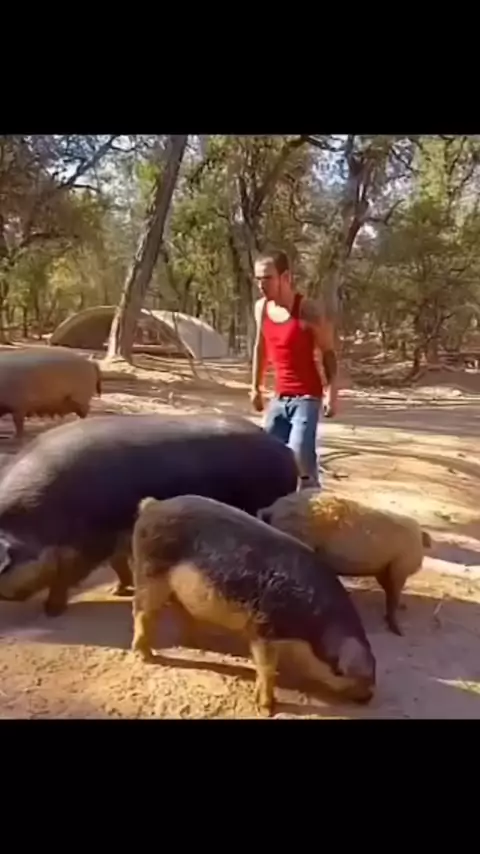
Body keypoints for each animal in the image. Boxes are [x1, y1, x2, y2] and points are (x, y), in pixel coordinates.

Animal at [0, 413, 298, 616]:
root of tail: (286, 450)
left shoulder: (92, 543)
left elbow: (67, 575)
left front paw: (52, 609)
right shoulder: (115, 536)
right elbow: (119, 564)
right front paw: (119, 591)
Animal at [130, 494, 376, 717]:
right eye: (349, 675)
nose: (368, 698)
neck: (313, 628)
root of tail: (152, 505)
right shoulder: (263, 626)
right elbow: (267, 668)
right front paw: (267, 709)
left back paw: (198, 642)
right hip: (149, 572)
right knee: (142, 611)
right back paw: (146, 655)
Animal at [258, 490, 432, 635]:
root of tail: (272, 509)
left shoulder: (385, 569)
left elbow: (390, 591)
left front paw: (401, 609)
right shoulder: (399, 567)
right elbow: (393, 596)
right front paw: (399, 631)